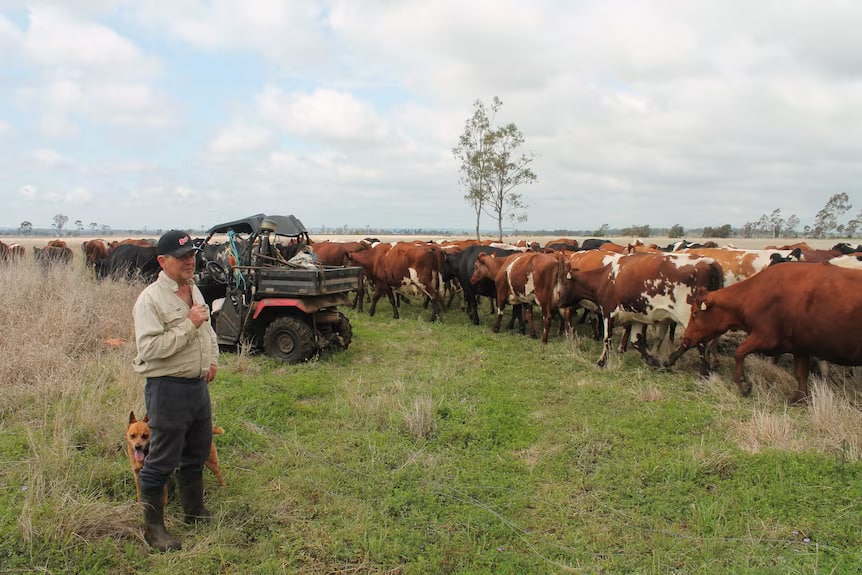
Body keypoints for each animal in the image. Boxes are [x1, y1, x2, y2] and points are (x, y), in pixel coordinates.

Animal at [676, 264, 862, 402]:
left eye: (694, 313)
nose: (686, 339)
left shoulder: (766, 337)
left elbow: (739, 352)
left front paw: (743, 384)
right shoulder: (800, 347)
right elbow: (801, 374)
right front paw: (800, 399)